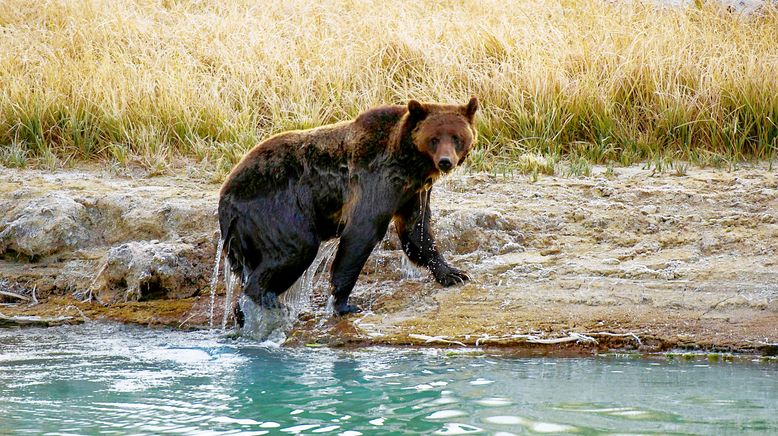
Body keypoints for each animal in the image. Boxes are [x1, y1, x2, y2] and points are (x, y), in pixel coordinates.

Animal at [215, 97, 476, 316]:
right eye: (434, 138)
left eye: (456, 137)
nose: (445, 161)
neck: (410, 165)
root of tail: (225, 197)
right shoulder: (374, 181)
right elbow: (362, 232)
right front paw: (344, 303)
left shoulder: (413, 193)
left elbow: (417, 231)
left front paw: (453, 273)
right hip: (275, 207)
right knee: (296, 248)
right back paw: (267, 302)